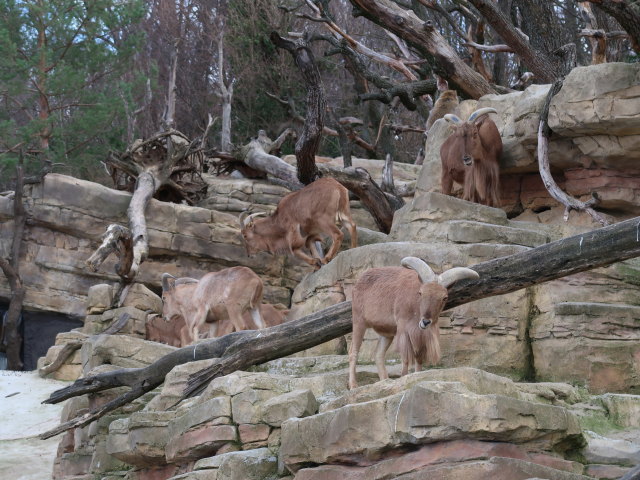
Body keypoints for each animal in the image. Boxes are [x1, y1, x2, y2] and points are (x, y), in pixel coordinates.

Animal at [348, 256, 478, 388]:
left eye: (444, 297)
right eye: (421, 292)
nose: (425, 322)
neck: (416, 306)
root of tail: (358, 282)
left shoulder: (420, 335)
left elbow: (418, 359)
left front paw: (416, 377)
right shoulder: (404, 330)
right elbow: (405, 358)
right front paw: (403, 378)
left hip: (387, 333)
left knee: (378, 354)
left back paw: (385, 381)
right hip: (359, 321)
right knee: (353, 352)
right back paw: (353, 385)